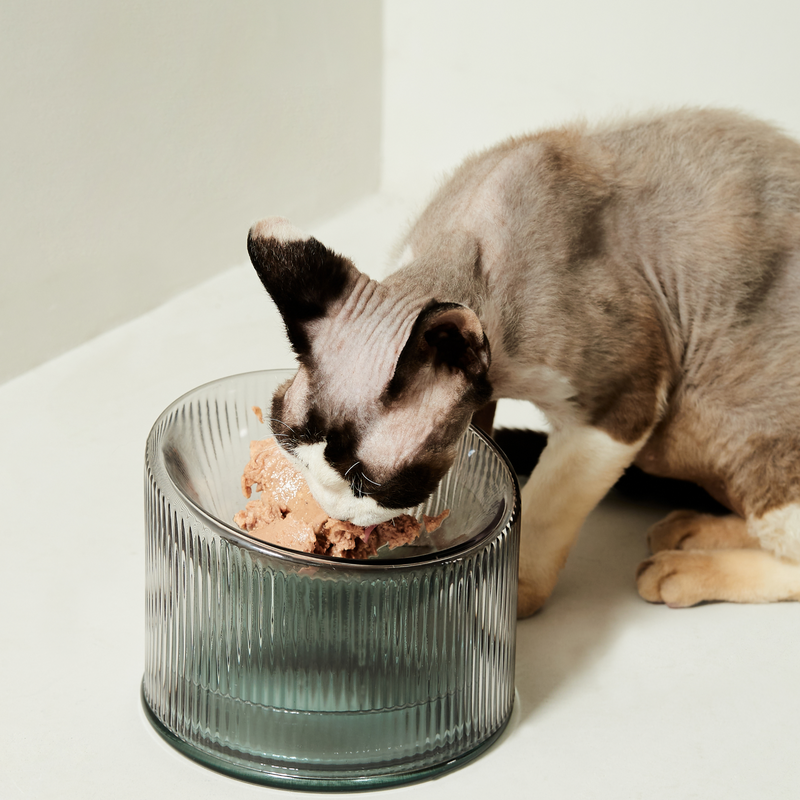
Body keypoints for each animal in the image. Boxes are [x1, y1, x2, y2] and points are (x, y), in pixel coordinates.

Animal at [247, 108, 800, 620]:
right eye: (291, 450)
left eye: (371, 484)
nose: (330, 509)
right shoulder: (485, 395)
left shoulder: (616, 411)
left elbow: (540, 514)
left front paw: (502, 596)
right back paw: (688, 530)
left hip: (738, 441)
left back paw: (681, 567)